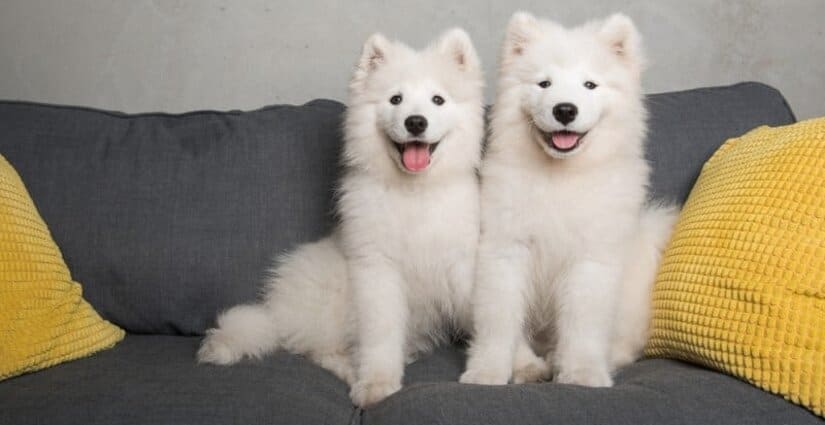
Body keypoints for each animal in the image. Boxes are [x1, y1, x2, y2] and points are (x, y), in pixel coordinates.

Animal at [196, 28, 486, 406]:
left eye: (438, 100)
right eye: (395, 100)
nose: (415, 122)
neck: (414, 193)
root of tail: (276, 313)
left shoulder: (462, 261)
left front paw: (519, 363)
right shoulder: (377, 270)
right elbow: (381, 333)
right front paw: (377, 383)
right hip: (330, 300)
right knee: (318, 349)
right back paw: (352, 369)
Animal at [458, 11, 676, 386]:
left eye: (589, 85)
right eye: (544, 84)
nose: (564, 110)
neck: (560, 177)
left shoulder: (591, 259)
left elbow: (583, 324)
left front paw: (582, 373)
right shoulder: (505, 250)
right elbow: (498, 320)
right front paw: (487, 371)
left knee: (624, 344)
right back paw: (529, 366)